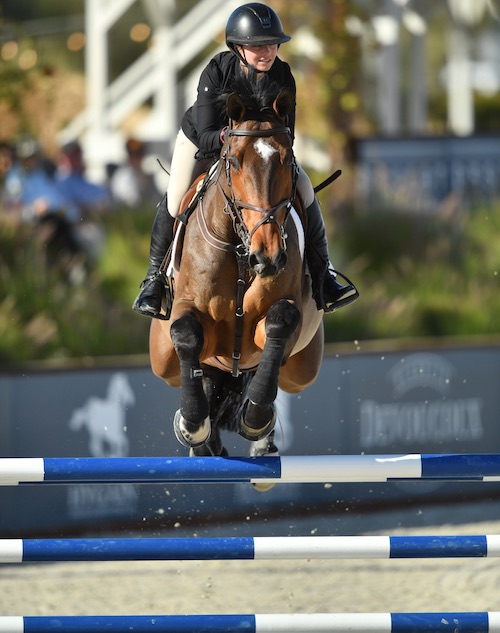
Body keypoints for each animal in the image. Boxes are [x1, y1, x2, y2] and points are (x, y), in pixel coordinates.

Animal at [149, 71, 324, 466]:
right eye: (234, 161)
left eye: (288, 159)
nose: (268, 257)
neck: (242, 251)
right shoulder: (188, 312)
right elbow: (186, 334)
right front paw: (193, 425)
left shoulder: (280, 319)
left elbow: (279, 324)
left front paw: (255, 419)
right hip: (161, 358)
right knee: (195, 369)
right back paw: (205, 442)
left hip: (303, 367)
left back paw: (261, 444)